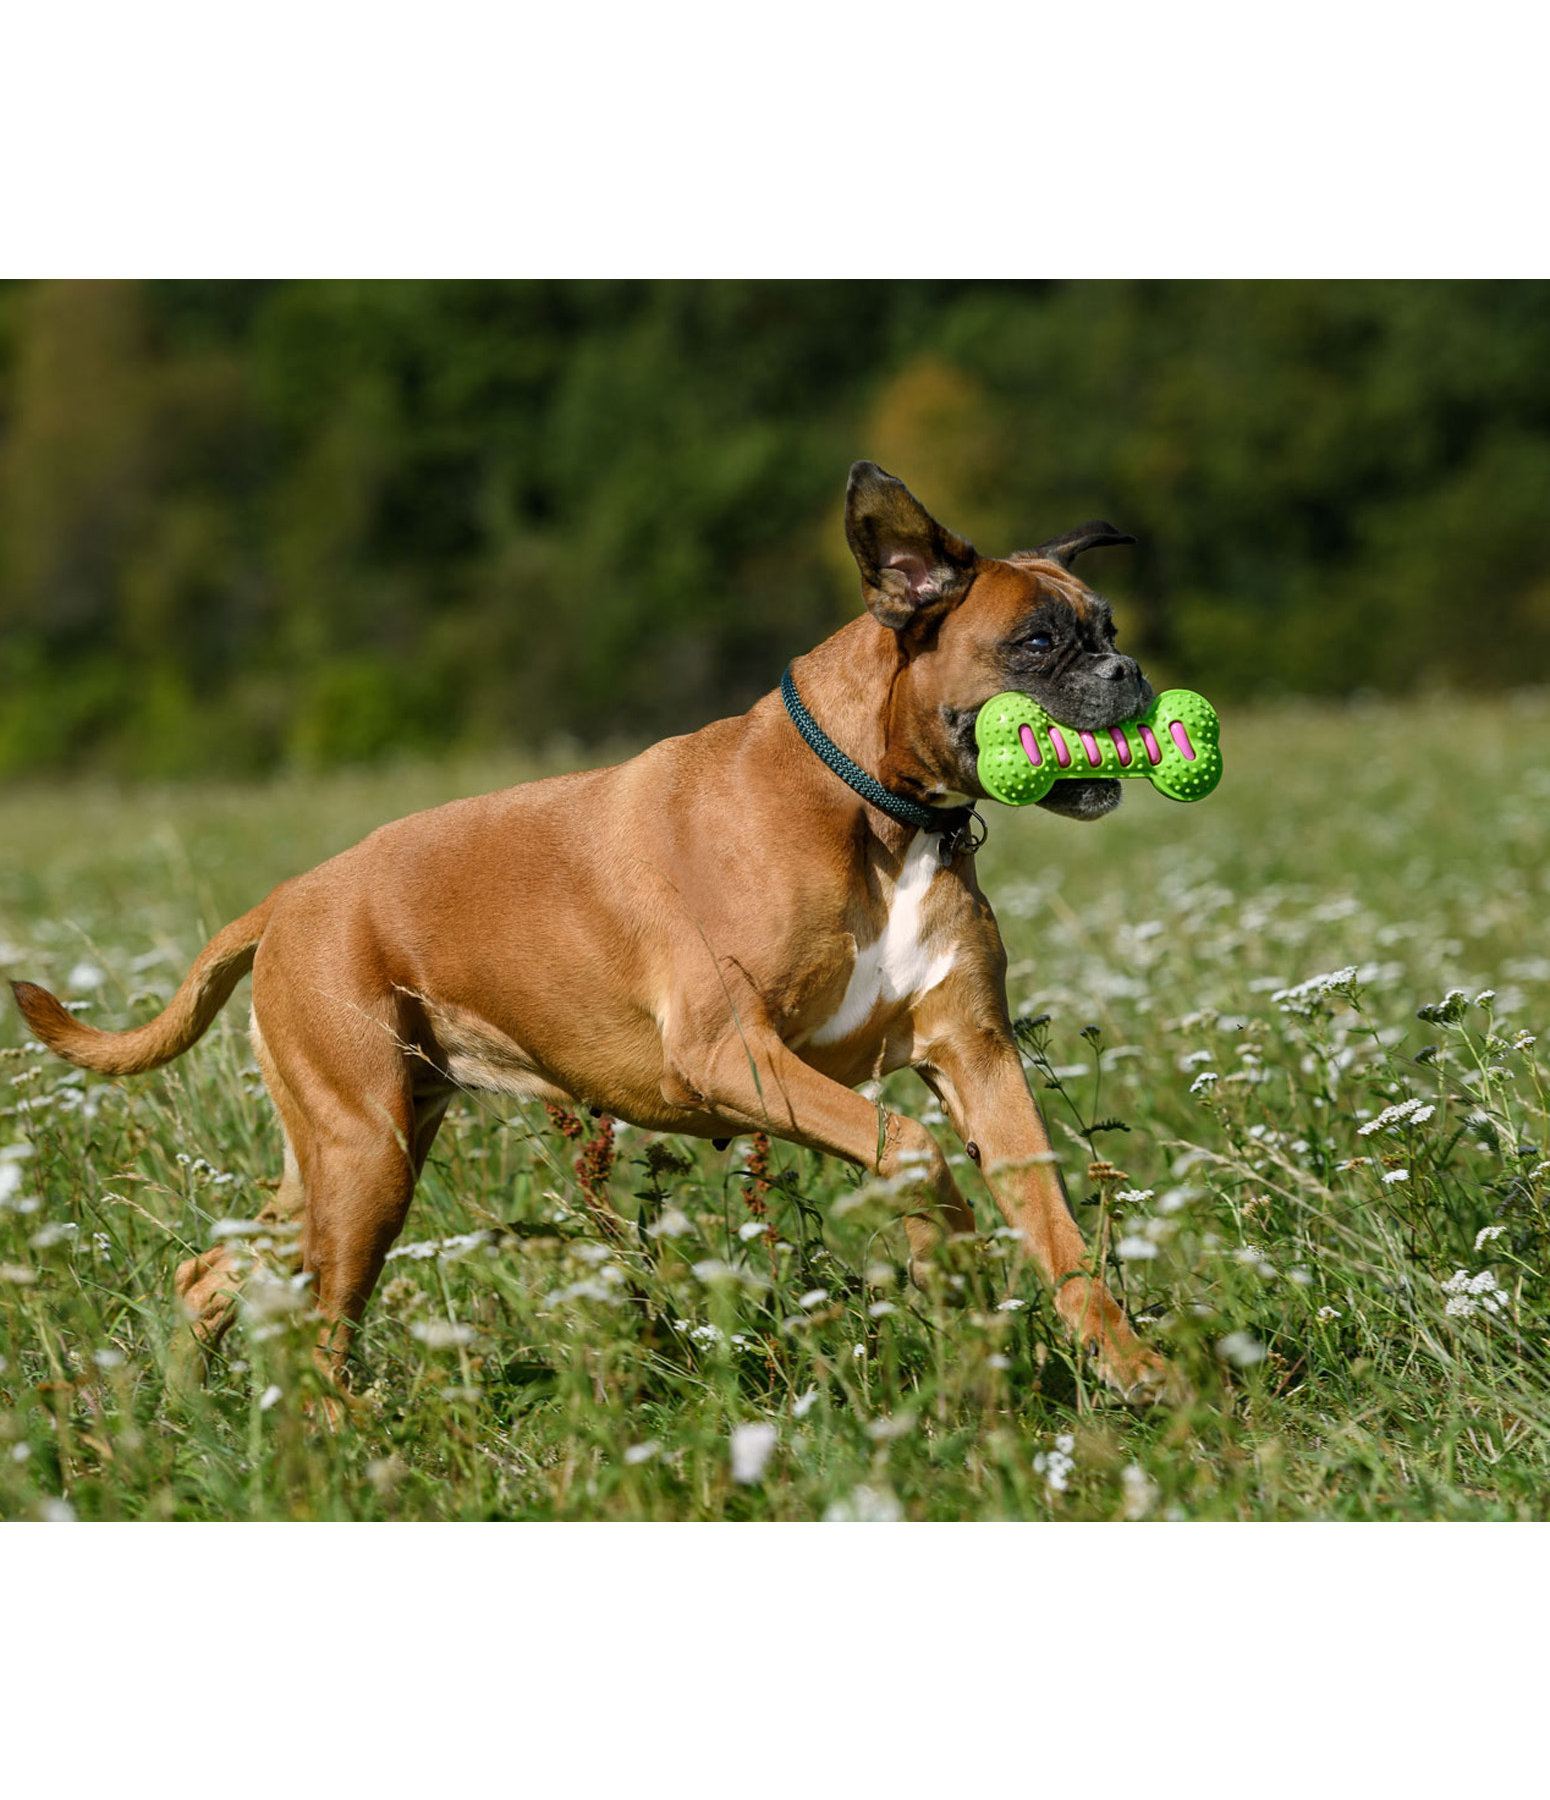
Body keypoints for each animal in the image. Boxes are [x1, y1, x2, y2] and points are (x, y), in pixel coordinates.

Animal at [15, 457, 1173, 1396]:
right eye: (1035, 642)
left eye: (1109, 629)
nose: (1129, 674)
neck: (877, 811)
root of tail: (292, 896)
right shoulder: (735, 1056)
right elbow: (909, 1148)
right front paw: (946, 1248)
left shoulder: (978, 1058)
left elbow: (1056, 1227)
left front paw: (1129, 1368)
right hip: (363, 1163)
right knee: (320, 1331)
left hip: (347, 1156)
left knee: (212, 1271)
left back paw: (180, 1411)